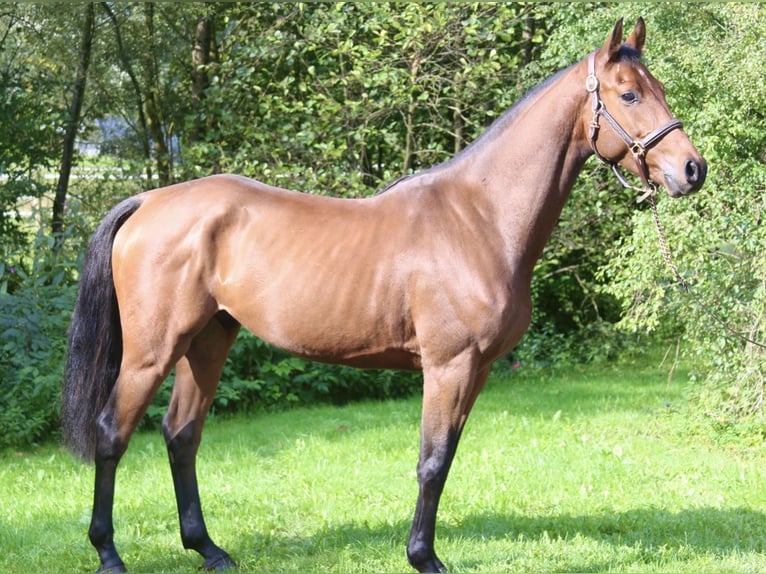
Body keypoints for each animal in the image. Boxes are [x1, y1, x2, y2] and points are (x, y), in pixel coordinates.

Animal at [61, 18, 706, 573]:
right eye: (629, 95)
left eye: (659, 89)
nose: (692, 169)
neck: (480, 218)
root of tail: (148, 201)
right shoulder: (448, 367)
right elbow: (432, 461)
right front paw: (424, 558)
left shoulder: (476, 371)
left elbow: (445, 459)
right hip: (152, 351)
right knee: (111, 433)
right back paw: (108, 554)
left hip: (209, 339)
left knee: (181, 435)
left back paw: (209, 550)